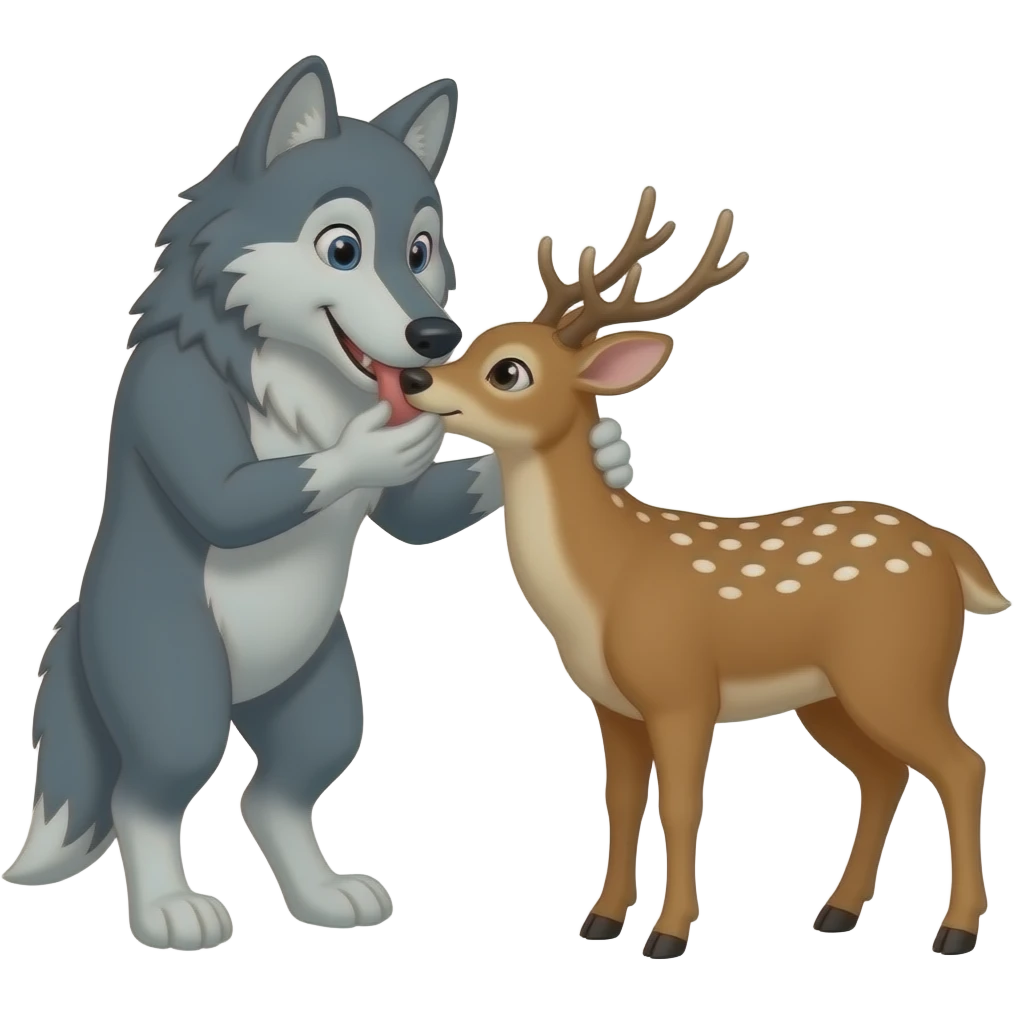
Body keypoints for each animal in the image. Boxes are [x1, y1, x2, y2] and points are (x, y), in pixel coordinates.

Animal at [2, 56, 634, 949]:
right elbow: (229, 499)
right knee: (148, 794)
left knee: (275, 793)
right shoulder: (174, 397)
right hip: (170, 680)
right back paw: (168, 911)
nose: (437, 338)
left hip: (322, 693)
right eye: (343, 249)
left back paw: (327, 897)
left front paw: (603, 451)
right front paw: (366, 447)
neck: (308, 378)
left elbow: (415, 515)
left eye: (421, 249)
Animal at [398, 187, 1004, 959]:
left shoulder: (682, 690)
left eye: (509, 370)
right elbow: (622, 802)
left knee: (962, 765)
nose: (416, 377)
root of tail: (950, 551)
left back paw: (953, 930)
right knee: (885, 774)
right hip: (832, 694)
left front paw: (669, 933)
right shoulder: (612, 706)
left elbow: (684, 807)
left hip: (898, 670)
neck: (605, 583)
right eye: (472, 342)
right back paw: (836, 913)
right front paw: (602, 921)